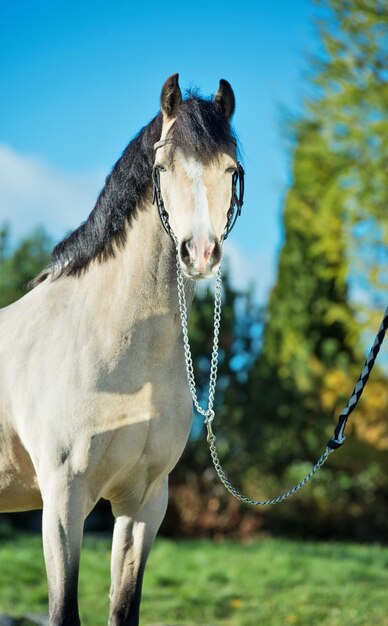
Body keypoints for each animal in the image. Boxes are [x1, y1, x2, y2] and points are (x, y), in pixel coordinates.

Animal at [0, 74, 242, 624]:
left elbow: (124, 608)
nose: (200, 253)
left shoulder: (143, 503)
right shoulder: (64, 501)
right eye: (163, 168)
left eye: (231, 169)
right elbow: (64, 610)